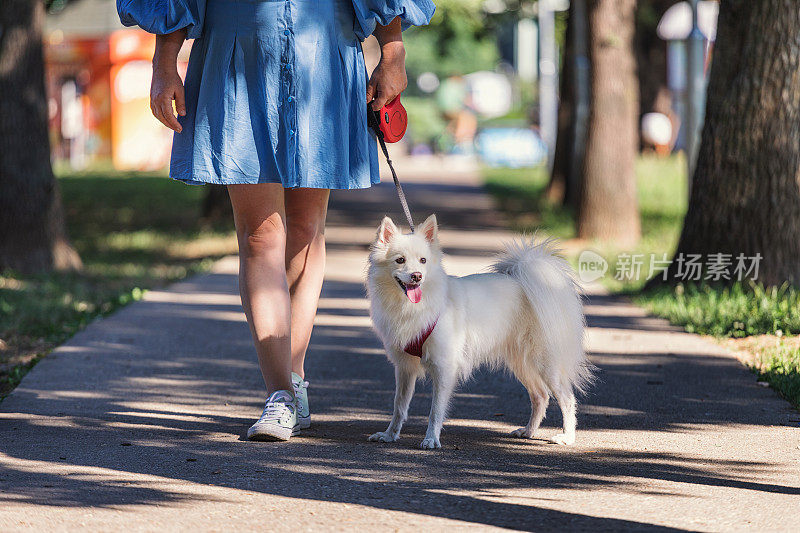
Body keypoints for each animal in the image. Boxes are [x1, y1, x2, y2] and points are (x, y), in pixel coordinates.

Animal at [366, 214, 592, 446]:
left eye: (423, 261)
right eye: (400, 260)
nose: (417, 276)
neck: (413, 306)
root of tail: (522, 278)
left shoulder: (444, 367)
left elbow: (435, 411)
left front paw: (431, 439)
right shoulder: (404, 368)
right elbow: (399, 406)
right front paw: (389, 435)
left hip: (545, 364)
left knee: (567, 398)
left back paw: (567, 437)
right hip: (522, 363)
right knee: (540, 396)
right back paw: (528, 431)